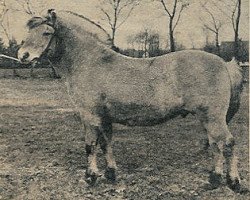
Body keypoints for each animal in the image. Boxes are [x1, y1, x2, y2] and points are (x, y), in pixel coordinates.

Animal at [18, 9, 244, 192]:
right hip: (208, 119)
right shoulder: (104, 118)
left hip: (213, 118)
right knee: (216, 145)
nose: (23, 55)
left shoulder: (89, 116)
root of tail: (224, 63)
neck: (91, 62)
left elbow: (91, 145)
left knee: (228, 143)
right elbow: (106, 143)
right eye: (28, 32)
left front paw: (91, 177)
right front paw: (110, 173)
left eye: (46, 33)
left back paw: (233, 182)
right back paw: (214, 179)